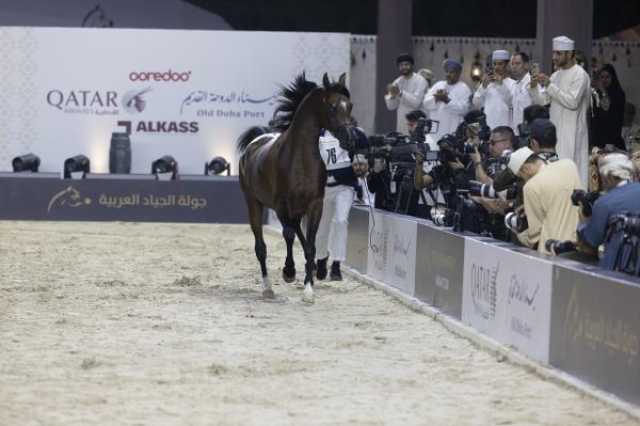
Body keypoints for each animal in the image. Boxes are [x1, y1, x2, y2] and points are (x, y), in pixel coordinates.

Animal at [236, 71, 352, 302]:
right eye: (332, 105)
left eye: (349, 105)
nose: (349, 138)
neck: (299, 159)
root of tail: (255, 142)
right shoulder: (281, 205)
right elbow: (288, 235)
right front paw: (289, 272)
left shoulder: (315, 204)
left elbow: (310, 245)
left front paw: (309, 289)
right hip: (254, 203)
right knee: (262, 247)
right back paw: (268, 288)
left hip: (297, 209)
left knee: (299, 235)